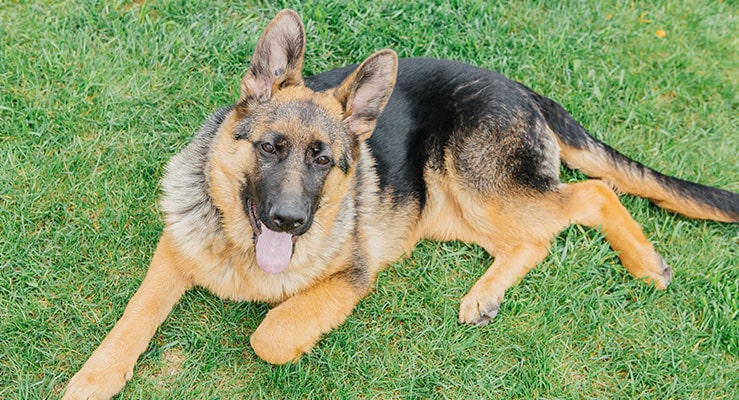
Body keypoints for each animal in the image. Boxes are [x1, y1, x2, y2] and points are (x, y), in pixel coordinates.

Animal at [65, 9, 739, 400]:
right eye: (270, 146)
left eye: (324, 160)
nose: (290, 220)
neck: (241, 248)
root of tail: (523, 89)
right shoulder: (174, 253)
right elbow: (133, 316)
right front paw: (95, 377)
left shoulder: (351, 276)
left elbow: (272, 334)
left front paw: (286, 334)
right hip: (449, 210)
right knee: (532, 238)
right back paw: (485, 295)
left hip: (480, 184)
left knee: (591, 195)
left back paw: (644, 263)